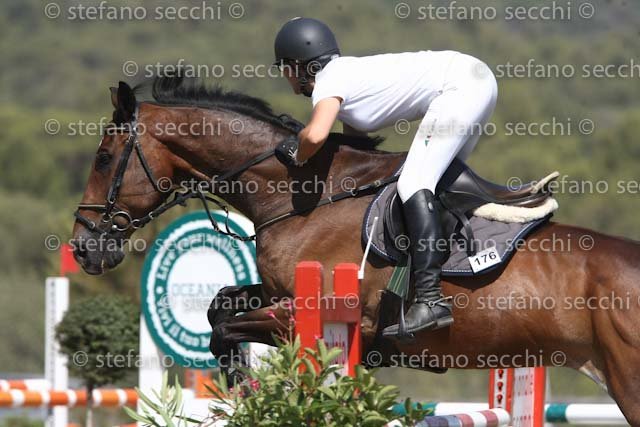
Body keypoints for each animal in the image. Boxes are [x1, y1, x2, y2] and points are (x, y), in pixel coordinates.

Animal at [72, 77, 640, 425]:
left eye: (103, 157)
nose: (83, 247)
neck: (304, 196)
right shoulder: (279, 296)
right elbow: (222, 305)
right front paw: (240, 382)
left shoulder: (317, 314)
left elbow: (227, 325)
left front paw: (244, 383)